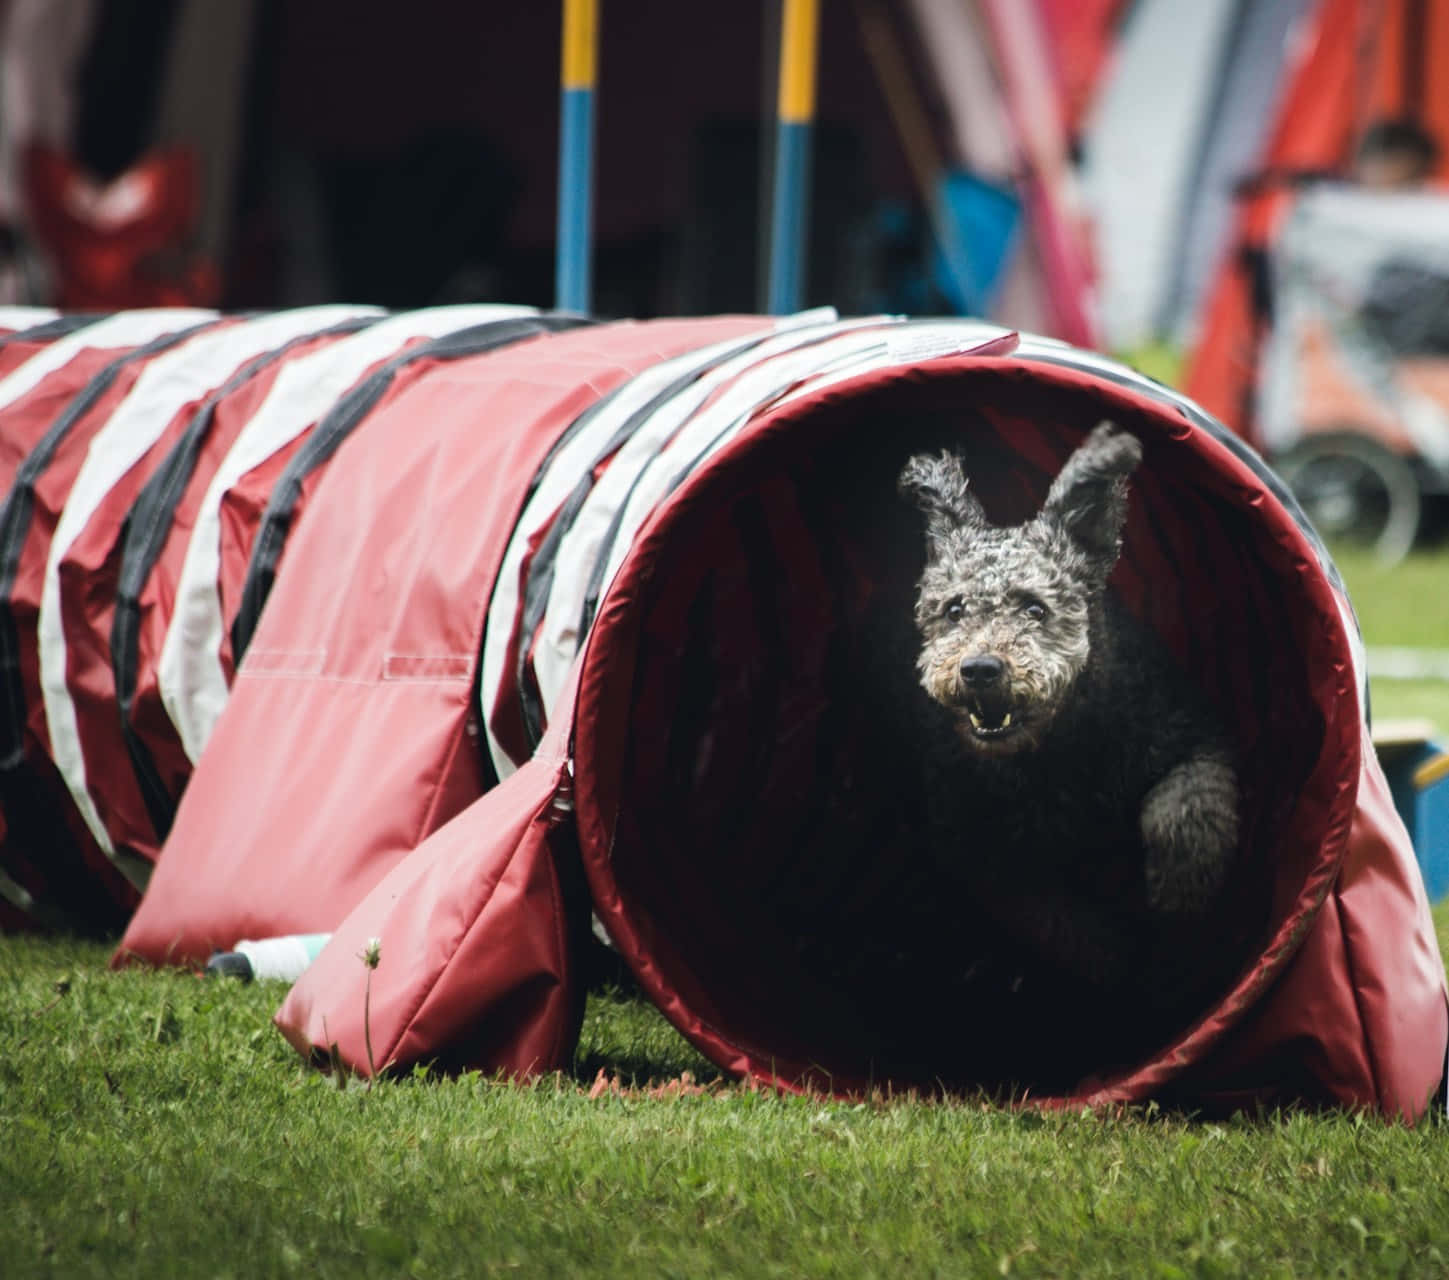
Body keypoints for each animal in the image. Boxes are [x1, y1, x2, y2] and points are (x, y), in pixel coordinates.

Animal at [892, 420, 1246, 1020]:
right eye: (955, 609)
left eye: (1035, 608)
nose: (981, 669)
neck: (1056, 751)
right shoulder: (982, 848)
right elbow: (1057, 922)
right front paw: (1119, 962)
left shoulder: (1191, 738)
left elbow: (1183, 811)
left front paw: (1179, 897)